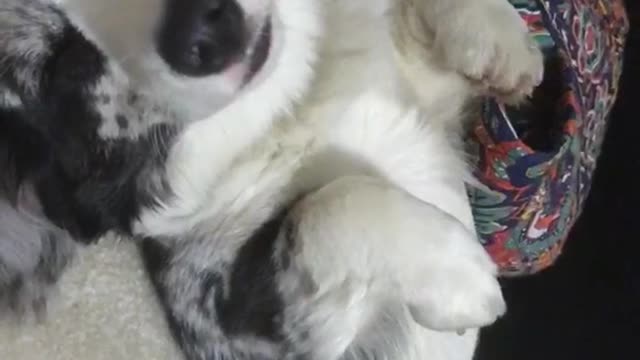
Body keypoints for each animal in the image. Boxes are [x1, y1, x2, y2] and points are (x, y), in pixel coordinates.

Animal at [0, 0, 544, 358]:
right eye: (59, 70)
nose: (204, 24)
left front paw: (497, 40)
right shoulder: (235, 323)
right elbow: (322, 208)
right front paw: (455, 274)